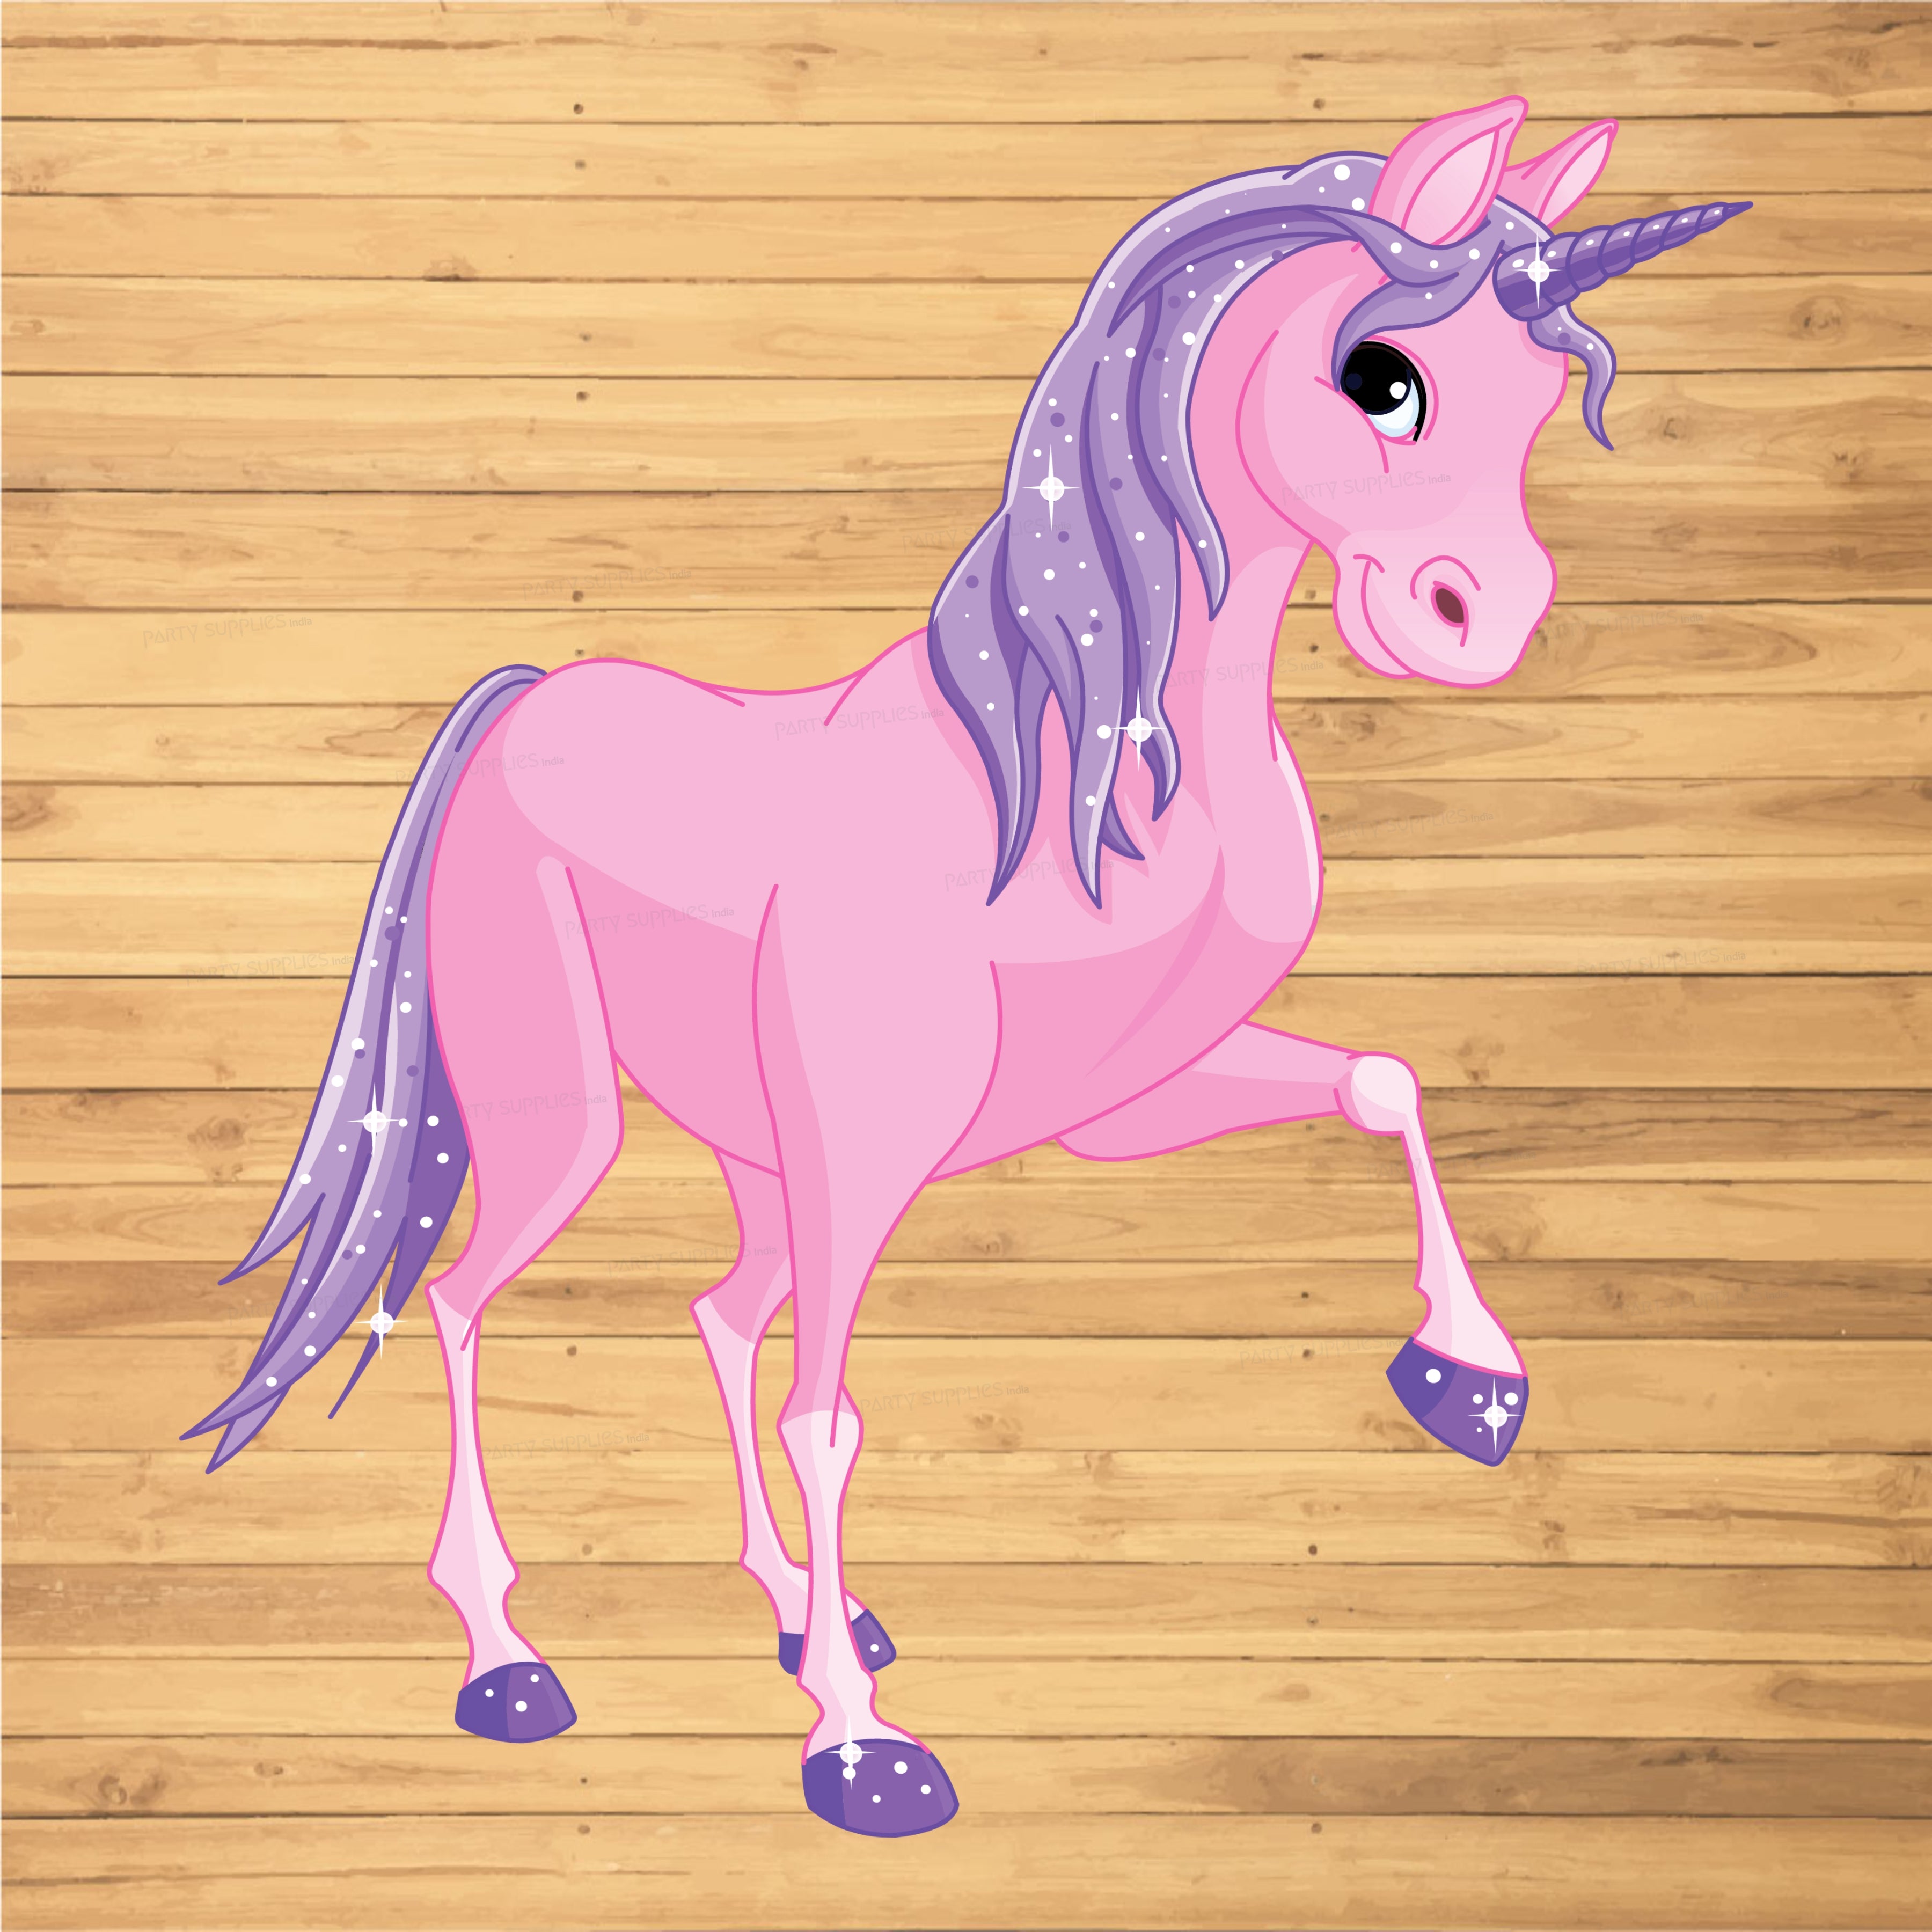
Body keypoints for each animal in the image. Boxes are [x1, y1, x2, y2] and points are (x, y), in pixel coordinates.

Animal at [187, 96, 1750, 1837]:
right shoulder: (869, 1153)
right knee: (463, 1303)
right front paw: (863, 1752)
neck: (1080, 778)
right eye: (1380, 375)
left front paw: (1468, 1382)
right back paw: (509, 1664)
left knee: (720, 1312)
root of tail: (524, 699)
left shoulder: (1114, 1107)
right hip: (579, 1130)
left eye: (1551, 392)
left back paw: (805, 1608)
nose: (1476, 622)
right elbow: (833, 1418)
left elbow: (1383, 1085)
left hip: (759, 1158)